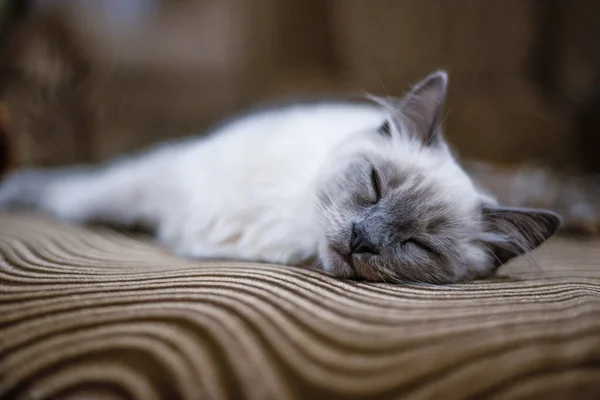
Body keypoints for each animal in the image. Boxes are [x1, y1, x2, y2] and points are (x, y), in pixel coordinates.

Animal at [0, 72, 564, 284]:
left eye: (416, 244)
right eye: (375, 185)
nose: (361, 238)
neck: (289, 227)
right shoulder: (154, 179)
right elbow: (69, 193)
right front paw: (14, 191)